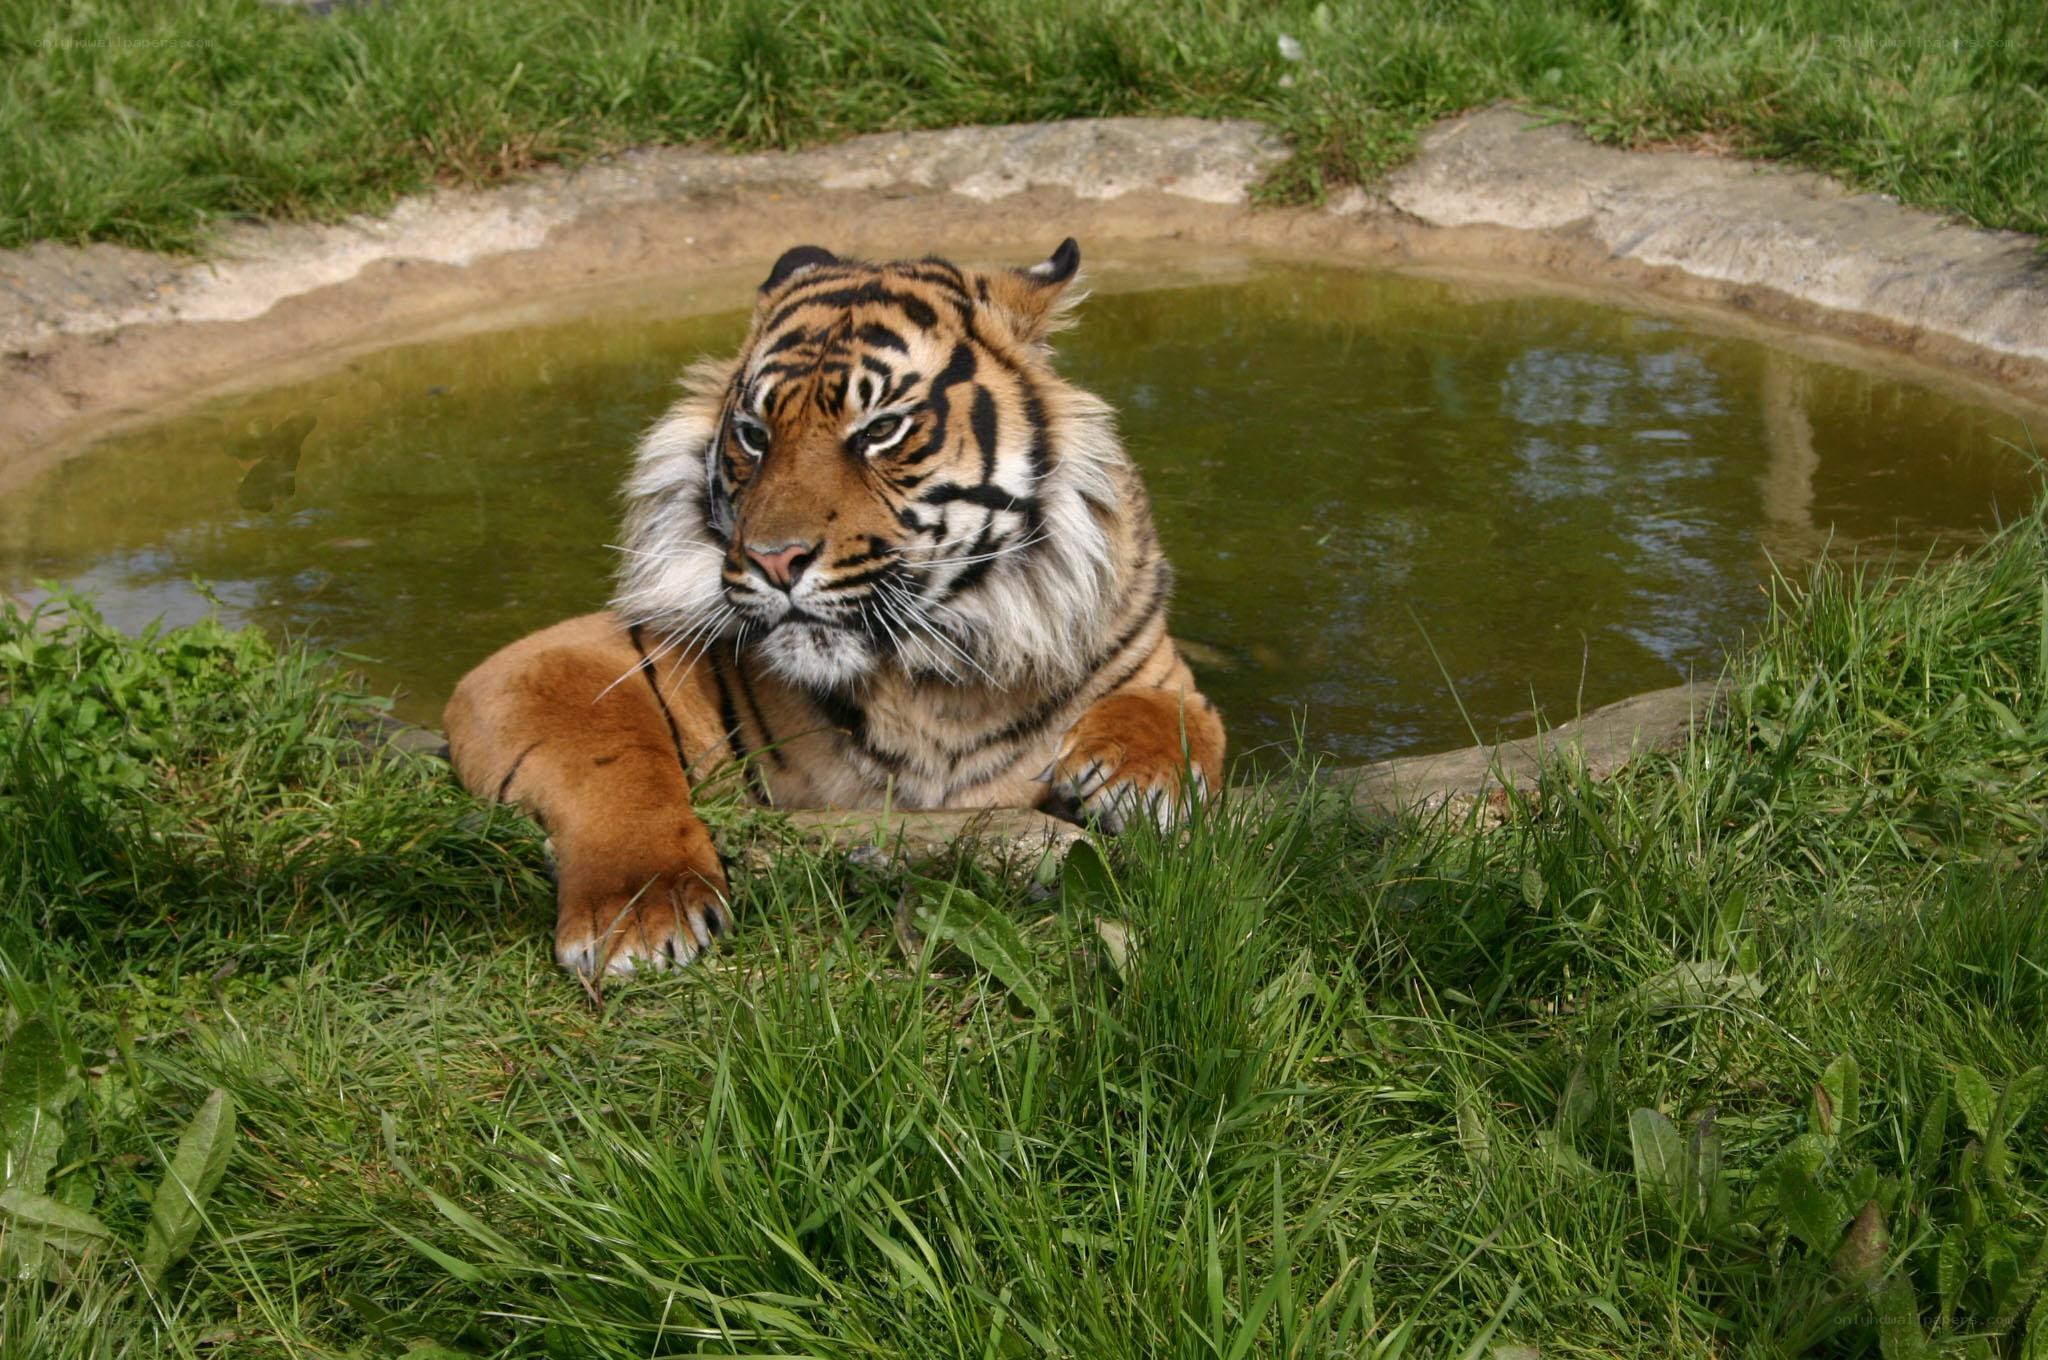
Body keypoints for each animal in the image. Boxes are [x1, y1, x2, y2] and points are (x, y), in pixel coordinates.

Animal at [443, 240, 1225, 976]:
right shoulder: (552, 662)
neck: (932, 681)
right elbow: (613, 764)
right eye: (755, 436)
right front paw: (637, 911)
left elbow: (1175, 715)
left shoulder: (1154, 664)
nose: (774, 560)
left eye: (880, 430)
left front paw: (1131, 781)